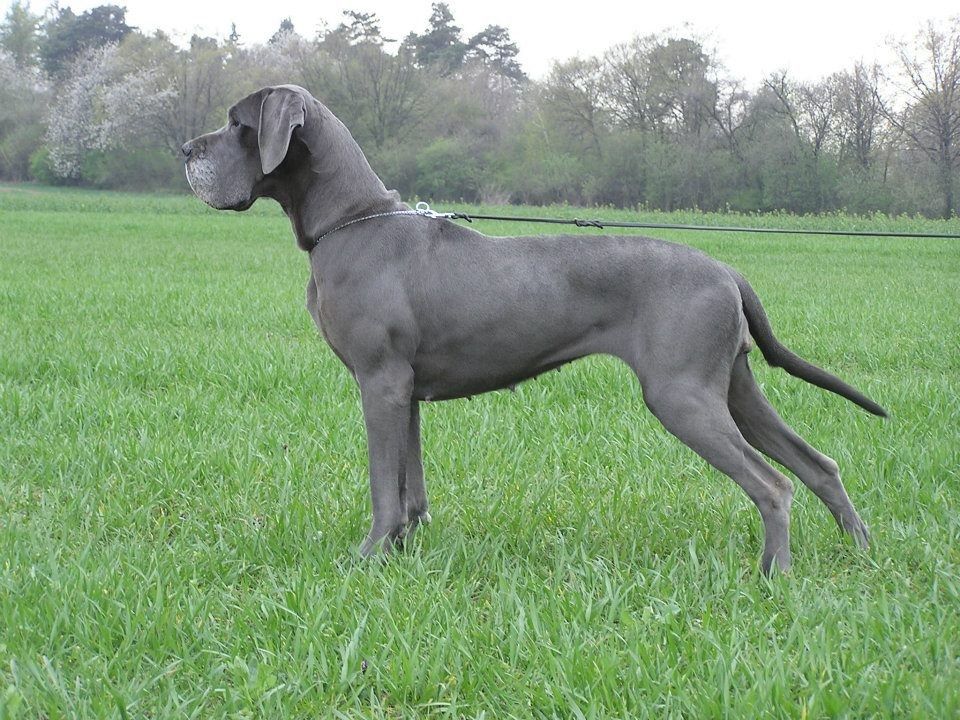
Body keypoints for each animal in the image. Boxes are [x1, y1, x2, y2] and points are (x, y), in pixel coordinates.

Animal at [182, 84, 886, 575]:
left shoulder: (378, 383)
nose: (186, 150)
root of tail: (727, 269)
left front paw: (368, 558)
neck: (352, 220)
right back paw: (860, 552)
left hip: (682, 396)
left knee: (774, 484)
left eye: (239, 124)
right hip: (733, 389)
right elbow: (411, 487)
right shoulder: (405, 391)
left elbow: (384, 487)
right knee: (819, 465)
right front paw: (404, 552)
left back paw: (775, 573)